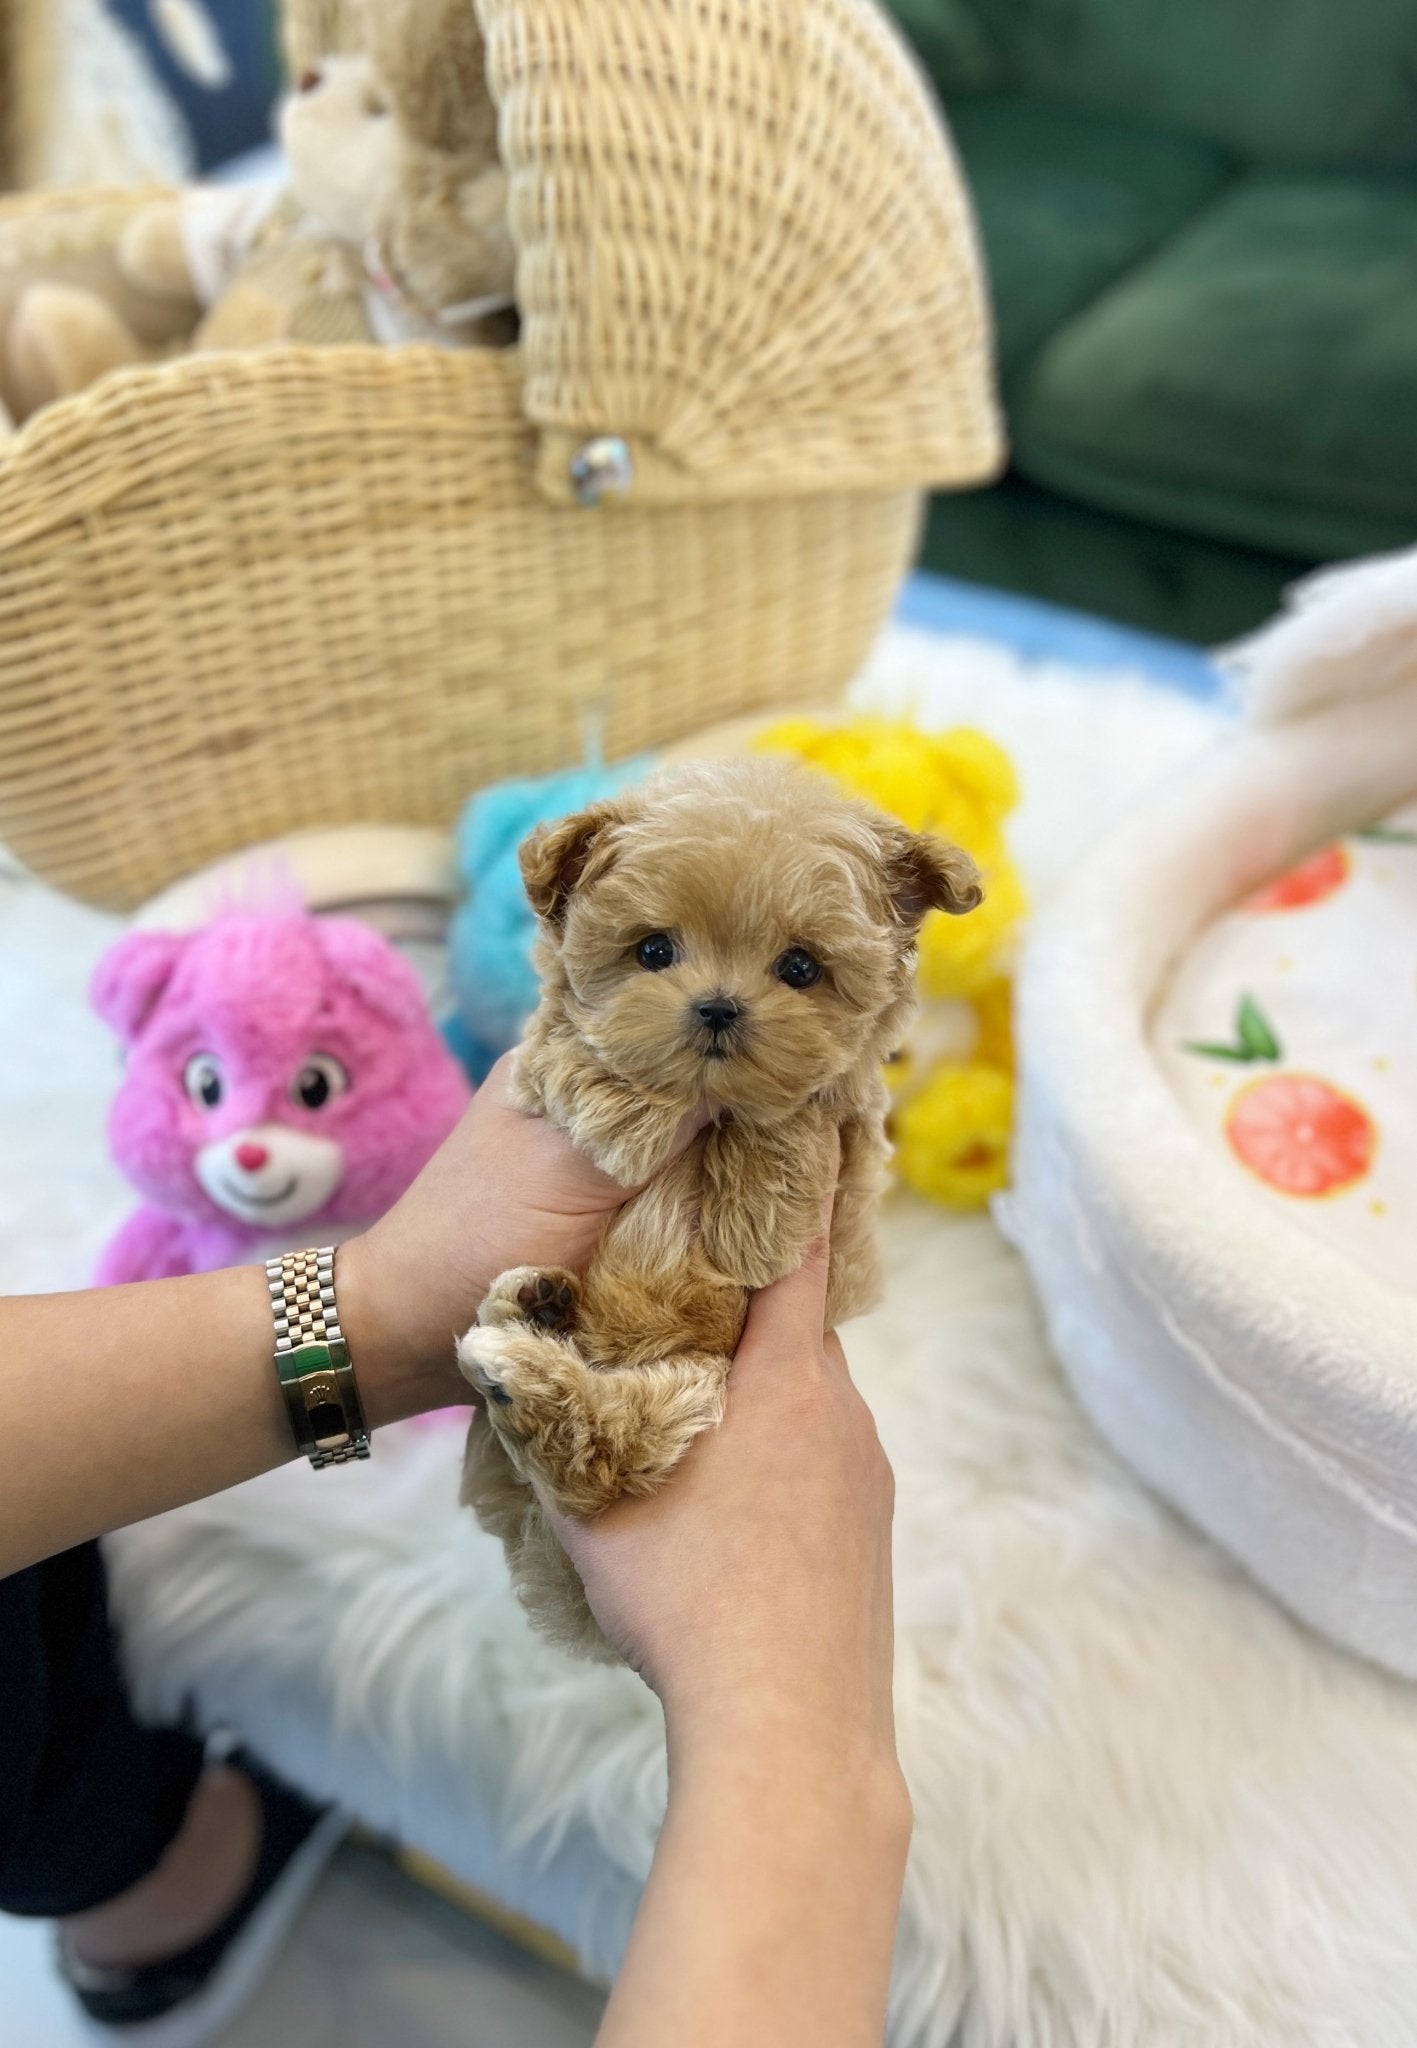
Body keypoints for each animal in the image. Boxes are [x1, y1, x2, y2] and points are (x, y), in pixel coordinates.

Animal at [458, 761, 978, 1654]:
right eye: (652, 951)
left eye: (800, 968)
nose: (716, 1008)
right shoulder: (528, 1076)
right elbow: (571, 1050)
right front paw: (628, 1115)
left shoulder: (850, 1171)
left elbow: (802, 1115)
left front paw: (755, 1214)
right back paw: (522, 1341)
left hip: (698, 1382)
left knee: (606, 1451)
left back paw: (527, 1339)